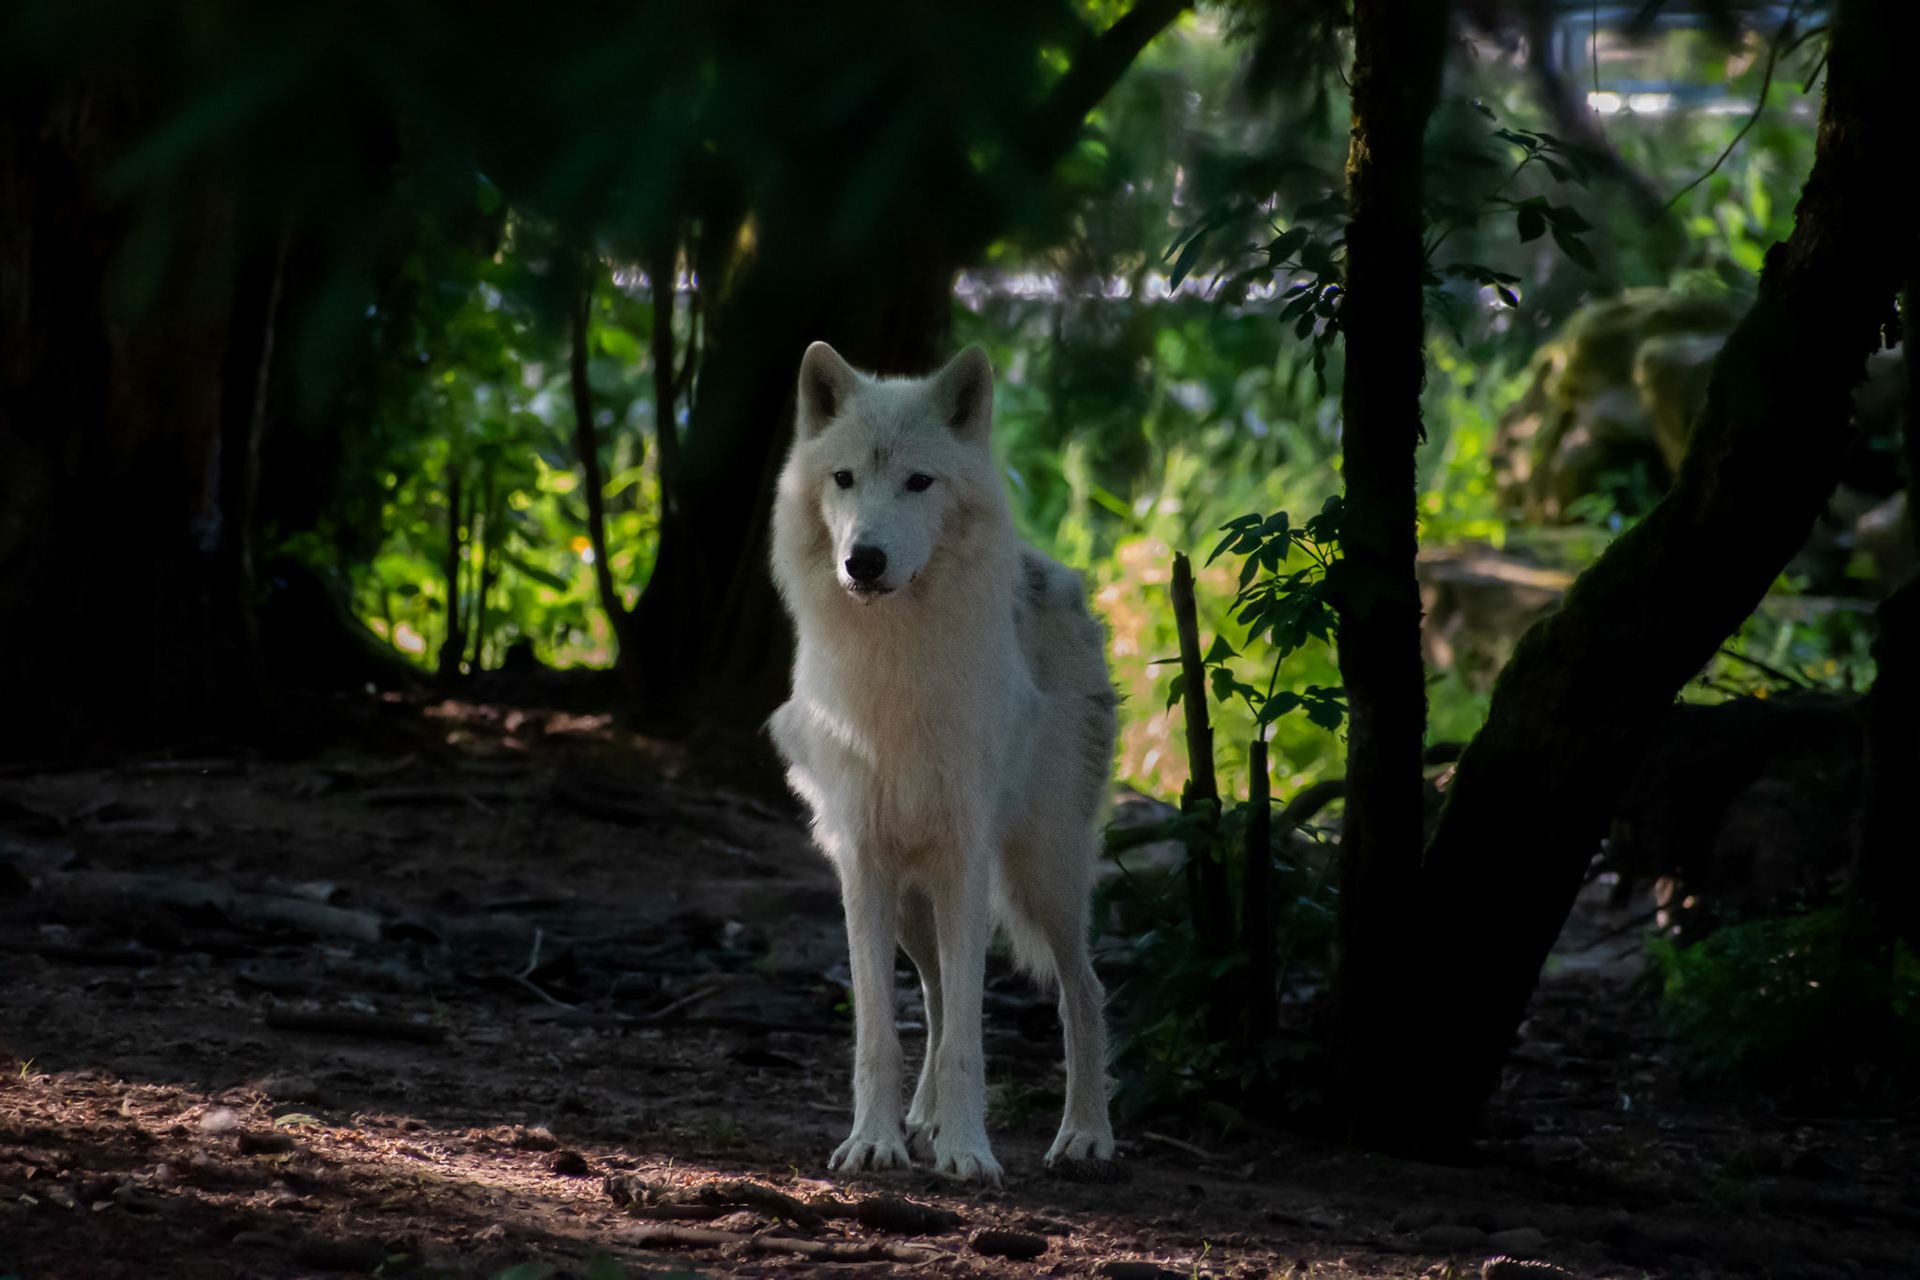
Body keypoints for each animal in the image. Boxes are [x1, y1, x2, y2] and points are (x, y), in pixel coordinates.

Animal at [767, 342, 1118, 1184]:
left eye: (919, 482)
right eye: (844, 479)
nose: (863, 561)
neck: (895, 667)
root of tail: (1053, 572)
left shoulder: (965, 860)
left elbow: (969, 1035)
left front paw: (967, 1151)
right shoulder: (864, 864)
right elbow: (880, 1033)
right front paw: (876, 1143)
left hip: (1043, 874)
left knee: (1083, 989)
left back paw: (1085, 1135)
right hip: (912, 902)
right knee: (928, 993)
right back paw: (920, 1120)